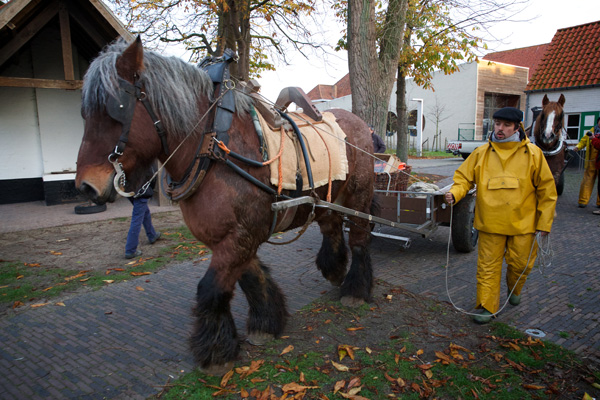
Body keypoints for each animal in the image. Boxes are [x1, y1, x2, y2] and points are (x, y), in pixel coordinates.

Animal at [75, 37, 376, 376]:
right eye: (85, 113)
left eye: (116, 109)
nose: (86, 186)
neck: (212, 148)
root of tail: (359, 123)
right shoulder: (232, 237)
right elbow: (250, 277)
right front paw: (265, 322)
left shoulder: (240, 236)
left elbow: (210, 289)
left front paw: (216, 351)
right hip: (328, 199)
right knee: (332, 227)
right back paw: (335, 269)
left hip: (360, 195)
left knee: (360, 237)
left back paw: (355, 290)